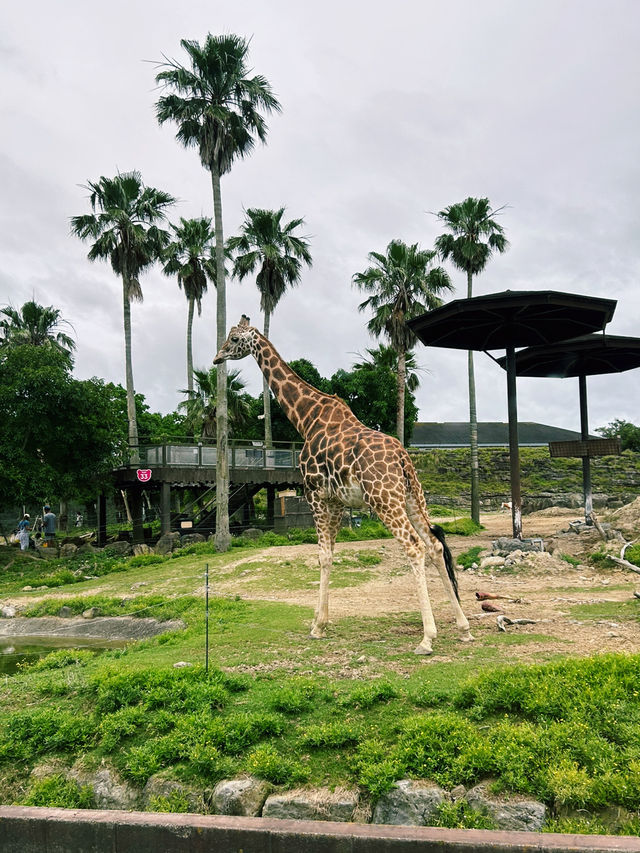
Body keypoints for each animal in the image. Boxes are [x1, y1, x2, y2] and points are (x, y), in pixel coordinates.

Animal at [212, 316, 472, 656]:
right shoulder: (336, 501)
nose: (216, 358)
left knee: (414, 547)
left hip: (383, 499)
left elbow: (323, 556)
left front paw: (317, 627)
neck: (306, 418)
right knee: (435, 545)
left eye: (233, 338)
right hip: (412, 497)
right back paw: (464, 627)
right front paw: (319, 621)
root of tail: (403, 457)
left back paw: (427, 638)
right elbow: (331, 554)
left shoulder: (315, 493)